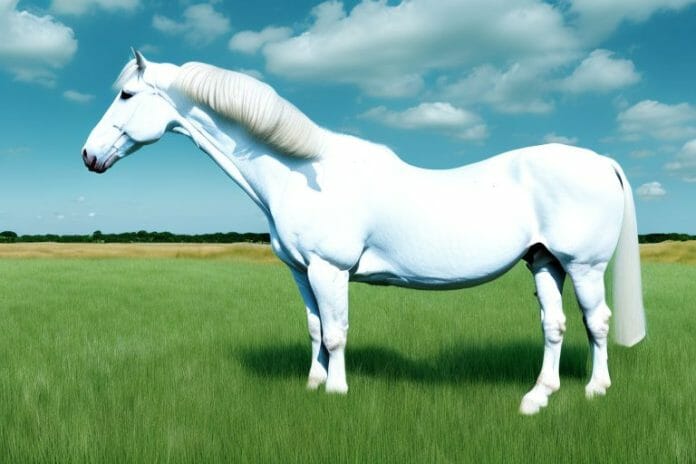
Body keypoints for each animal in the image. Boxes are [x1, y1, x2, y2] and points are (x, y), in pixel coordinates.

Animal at [81, 50, 646, 415]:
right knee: (555, 326)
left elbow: (336, 332)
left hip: (583, 266)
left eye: (126, 94)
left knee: (597, 323)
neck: (301, 173)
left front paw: (336, 393)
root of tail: (603, 162)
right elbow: (315, 329)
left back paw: (596, 391)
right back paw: (537, 397)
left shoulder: (330, 270)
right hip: (544, 262)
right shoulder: (302, 272)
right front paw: (313, 385)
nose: (89, 155)